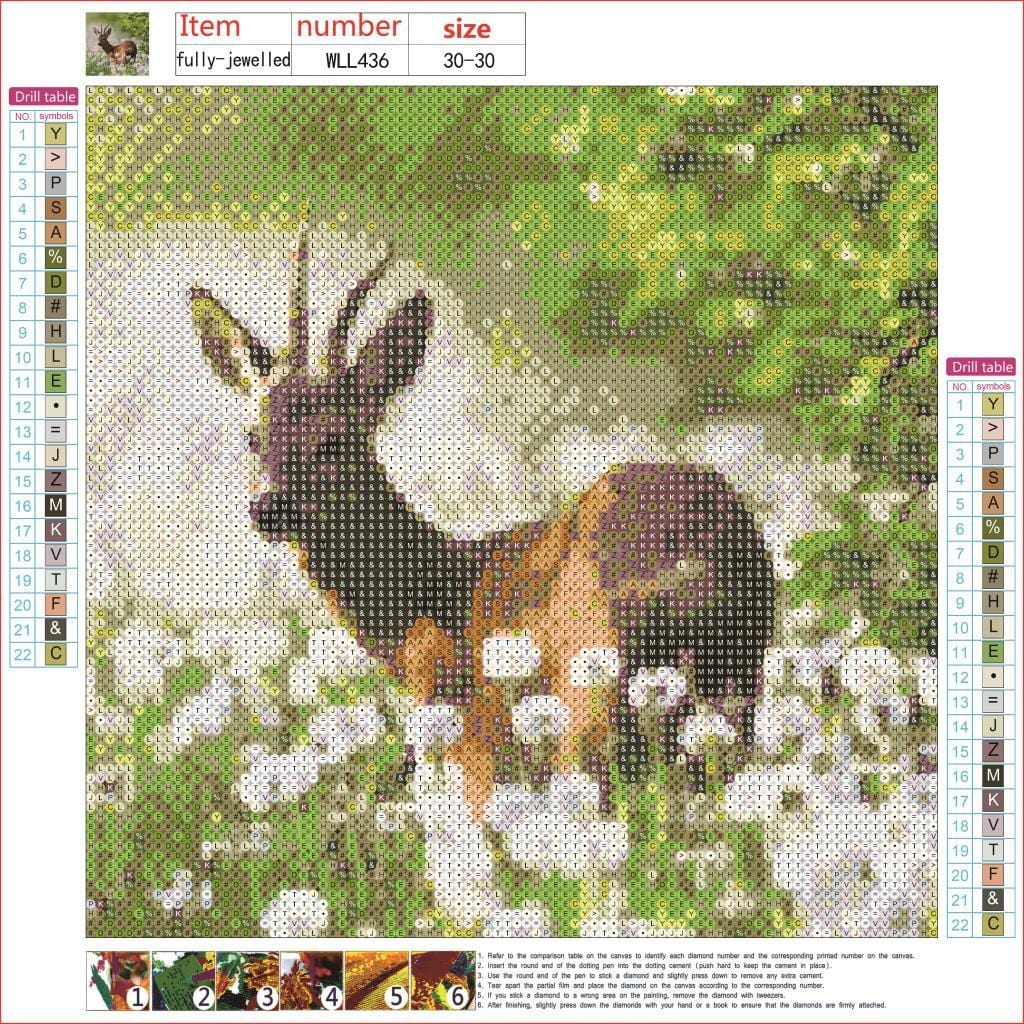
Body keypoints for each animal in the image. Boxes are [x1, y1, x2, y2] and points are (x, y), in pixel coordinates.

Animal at [193, 233, 775, 823]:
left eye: (335, 440)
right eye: (252, 436)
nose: (266, 506)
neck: (430, 602)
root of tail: (702, 557)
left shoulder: (472, 743)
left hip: (591, 692)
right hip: (733, 687)